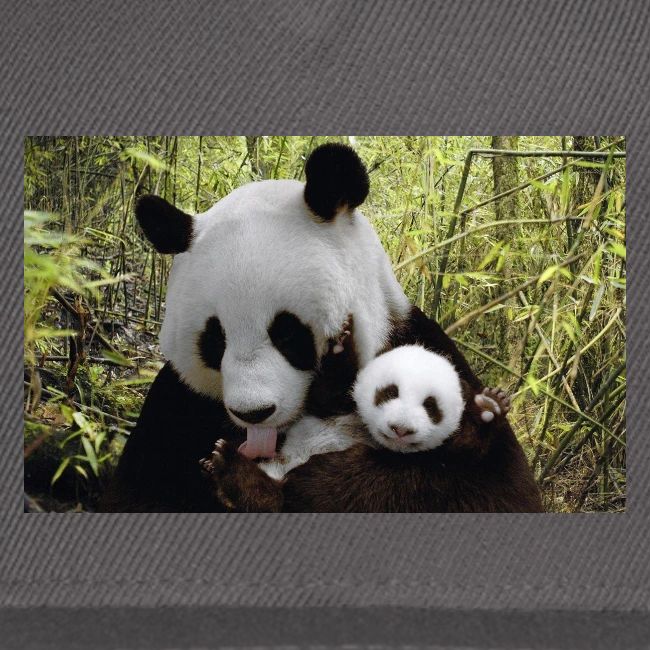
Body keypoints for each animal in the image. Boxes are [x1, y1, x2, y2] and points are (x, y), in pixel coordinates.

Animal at [100, 143, 542, 513]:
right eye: (215, 339)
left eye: (287, 333)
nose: (254, 413)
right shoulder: (177, 406)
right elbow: (138, 493)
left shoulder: (421, 347)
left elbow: (489, 489)